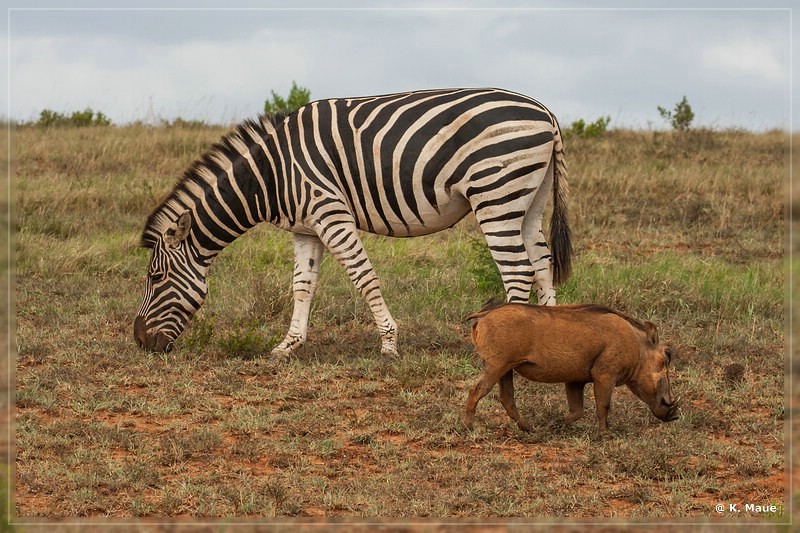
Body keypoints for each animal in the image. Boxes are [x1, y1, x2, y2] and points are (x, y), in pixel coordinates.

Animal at [138, 87, 572, 358]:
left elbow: (364, 278)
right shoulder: (306, 228)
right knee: (542, 265)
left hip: (495, 193)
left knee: (518, 272)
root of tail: (546, 113)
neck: (271, 175)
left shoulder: (330, 213)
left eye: (155, 277)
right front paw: (287, 346)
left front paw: (389, 345)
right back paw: (547, 344)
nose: (139, 340)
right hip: (528, 199)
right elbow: (302, 286)